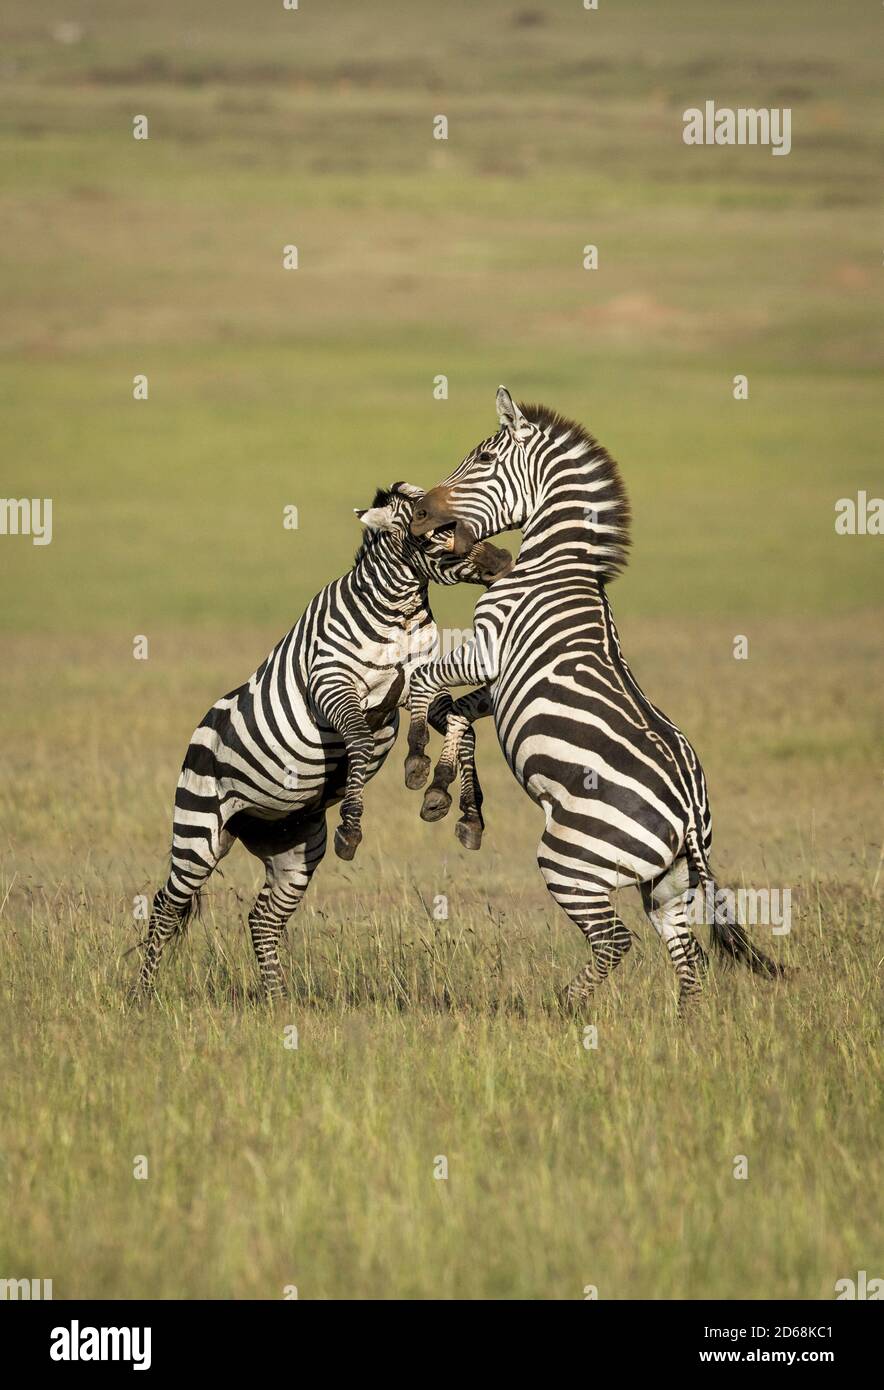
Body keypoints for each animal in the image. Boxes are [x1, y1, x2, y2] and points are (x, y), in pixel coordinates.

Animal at [131, 482, 511, 1002]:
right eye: (433, 530)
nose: (505, 560)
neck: (395, 614)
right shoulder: (332, 685)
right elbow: (359, 740)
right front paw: (354, 822)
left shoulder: (416, 685)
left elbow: (462, 727)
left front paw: (455, 804)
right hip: (197, 833)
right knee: (167, 906)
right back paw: (142, 995)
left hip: (294, 845)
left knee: (263, 920)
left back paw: (276, 1002)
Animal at [404, 388, 784, 1010]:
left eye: (482, 460)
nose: (416, 514)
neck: (555, 565)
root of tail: (689, 815)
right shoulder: (496, 680)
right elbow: (451, 710)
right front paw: (454, 800)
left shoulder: (488, 649)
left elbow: (423, 683)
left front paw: (418, 764)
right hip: (666, 883)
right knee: (689, 957)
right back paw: (685, 1026)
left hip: (571, 859)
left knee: (615, 940)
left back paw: (565, 1009)